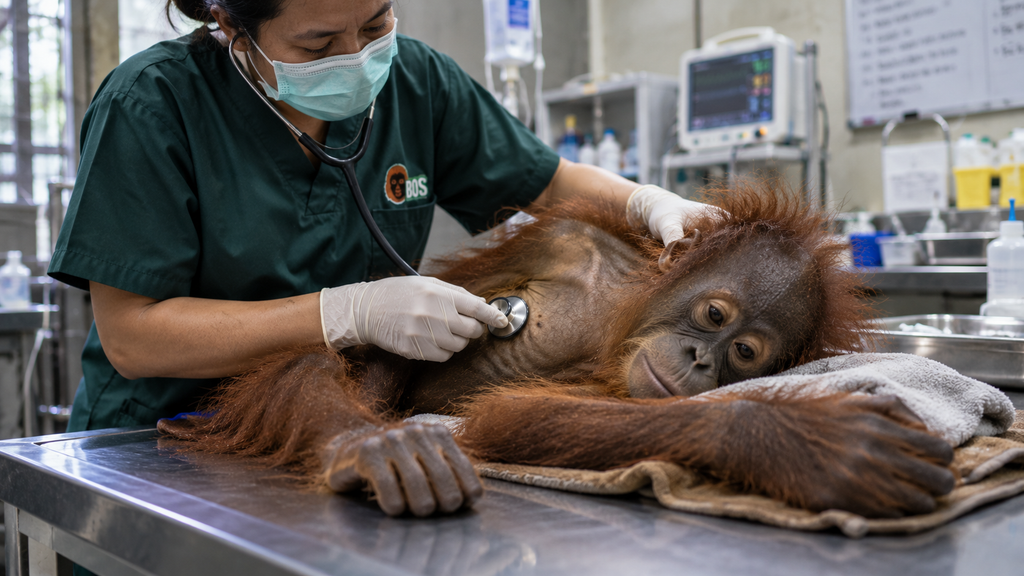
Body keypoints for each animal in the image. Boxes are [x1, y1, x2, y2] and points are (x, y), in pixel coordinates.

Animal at [159, 180, 956, 520]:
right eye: (715, 314)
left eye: (747, 355)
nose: (703, 362)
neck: (620, 313)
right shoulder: (560, 239)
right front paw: (811, 443)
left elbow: (509, 415)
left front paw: (779, 433)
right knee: (338, 365)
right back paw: (373, 447)